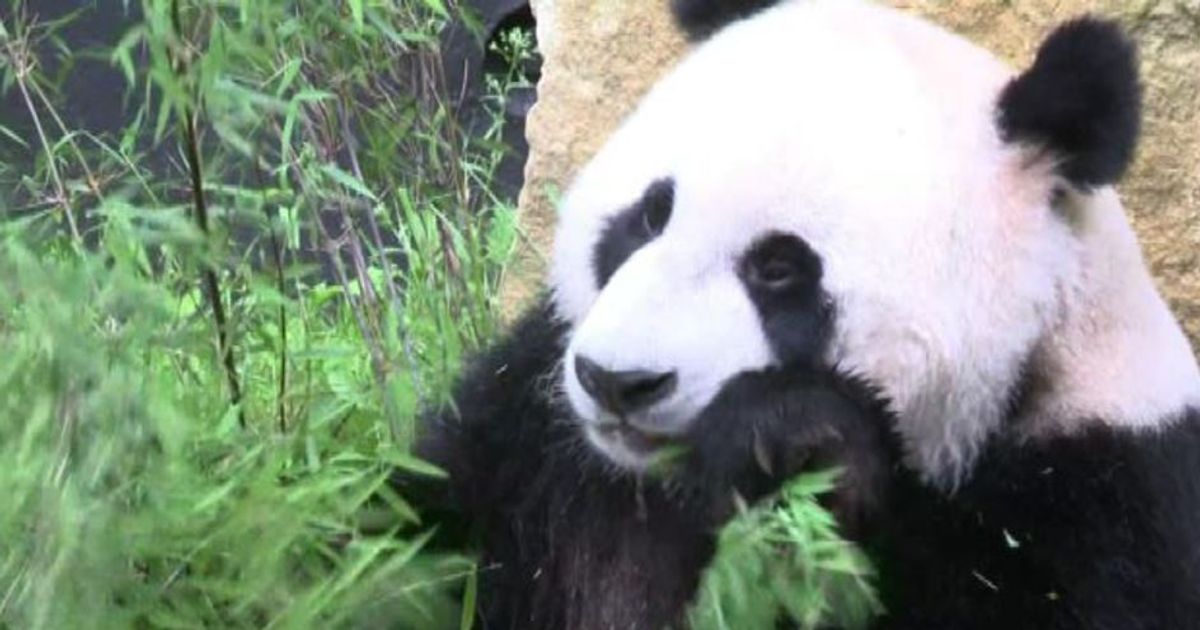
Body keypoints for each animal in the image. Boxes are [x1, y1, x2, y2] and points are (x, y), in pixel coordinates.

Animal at [410, 0, 1200, 628]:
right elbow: (425, 529)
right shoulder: (534, 435)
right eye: (649, 216)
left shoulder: (1109, 487)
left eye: (780, 268)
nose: (617, 382)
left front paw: (789, 435)